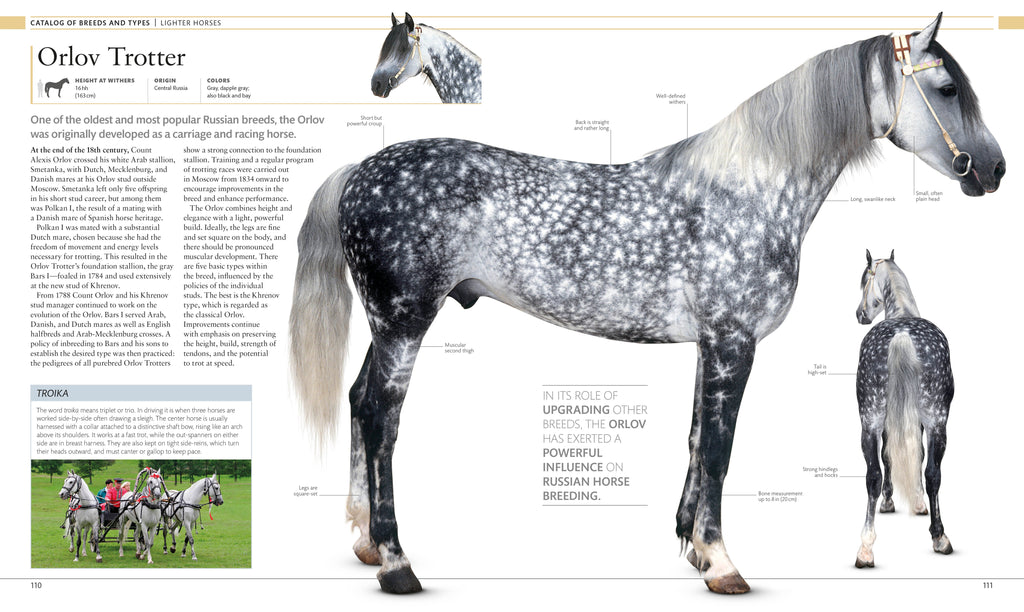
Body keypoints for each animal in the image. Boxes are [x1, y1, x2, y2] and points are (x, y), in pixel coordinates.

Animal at [853, 251, 954, 569]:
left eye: (863, 280)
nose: (859, 314)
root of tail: (901, 333)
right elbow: (911, 456)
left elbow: (896, 458)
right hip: (934, 421)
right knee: (931, 473)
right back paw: (939, 537)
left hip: (872, 421)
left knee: (875, 475)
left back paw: (866, 550)